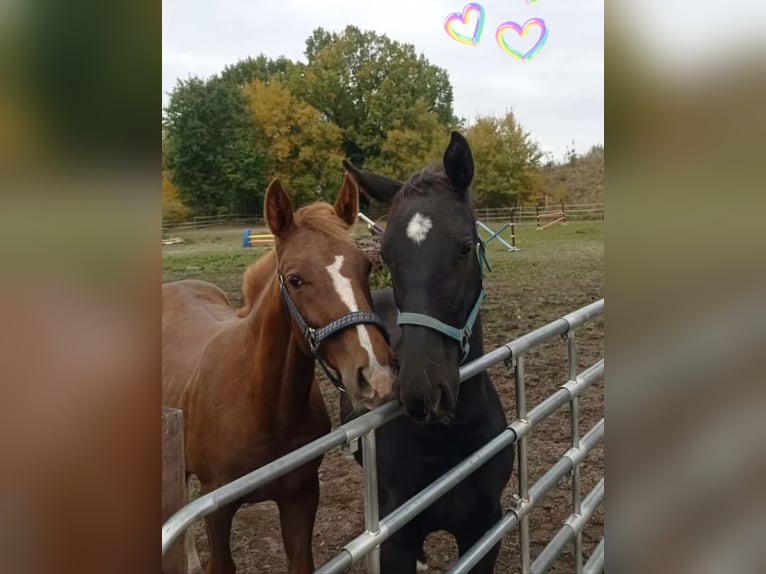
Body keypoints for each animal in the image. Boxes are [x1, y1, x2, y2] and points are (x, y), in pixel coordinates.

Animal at [166, 178, 400, 572]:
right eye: (295, 279)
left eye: (367, 267)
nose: (377, 376)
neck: (262, 405)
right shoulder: (217, 508)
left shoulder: (301, 494)